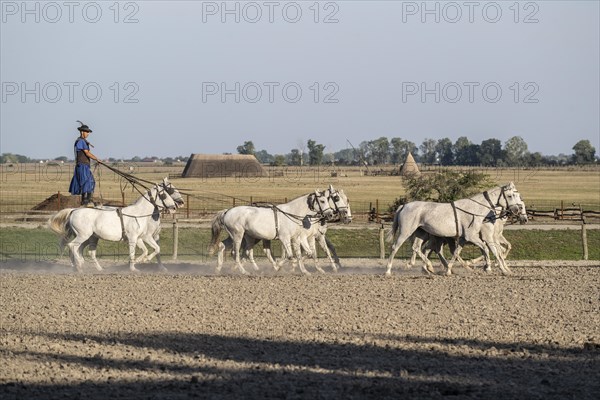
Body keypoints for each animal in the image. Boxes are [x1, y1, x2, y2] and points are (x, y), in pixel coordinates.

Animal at [49, 178, 183, 272]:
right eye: (166, 194)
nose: (175, 206)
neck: (138, 214)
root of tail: (74, 210)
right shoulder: (134, 238)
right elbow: (134, 252)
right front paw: (133, 268)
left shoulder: (140, 238)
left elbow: (148, 250)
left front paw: (142, 260)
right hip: (83, 235)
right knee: (72, 246)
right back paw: (79, 266)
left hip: (91, 237)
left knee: (84, 251)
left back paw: (92, 268)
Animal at [386, 183, 524, 276]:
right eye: (510, 195)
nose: (516, 210)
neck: (476, 211)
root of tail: (404, 206)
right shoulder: (474, 237)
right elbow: (489, 250)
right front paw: (492, 268)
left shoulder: (464, 238)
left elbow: (457, 252)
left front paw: (449, 270)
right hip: (406, 232)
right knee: (395, 247)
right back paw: (388, 270)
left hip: (422, 233)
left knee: (418, 248)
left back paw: (428, 267)